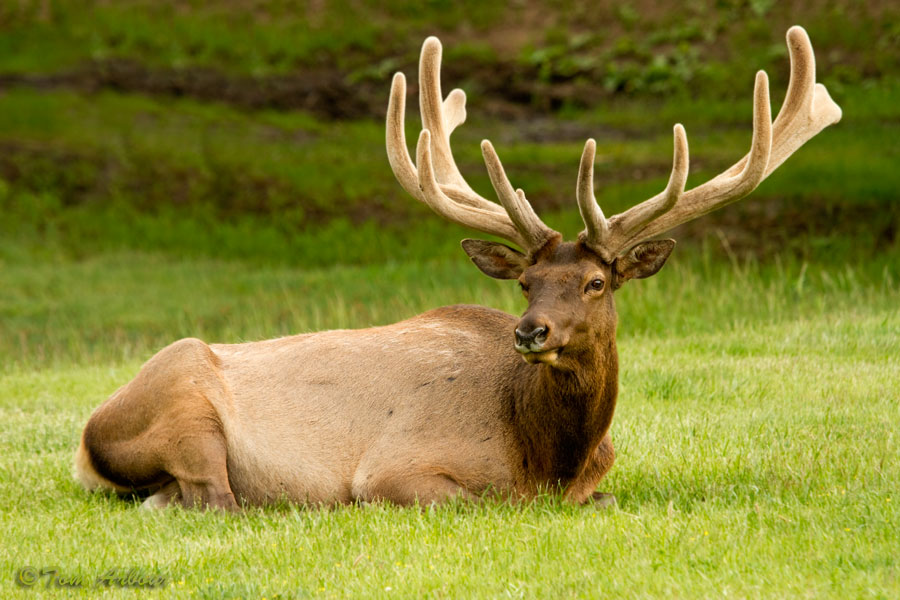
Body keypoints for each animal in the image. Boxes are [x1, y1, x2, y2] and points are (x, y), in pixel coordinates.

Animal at [74, 27, 841, 510]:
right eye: (526, 283)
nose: (530, 332)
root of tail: (84, 440)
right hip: (185, 407)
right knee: (215, 499)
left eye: (595, 283)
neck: (549, 459)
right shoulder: (397, 469)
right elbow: (481, 501)